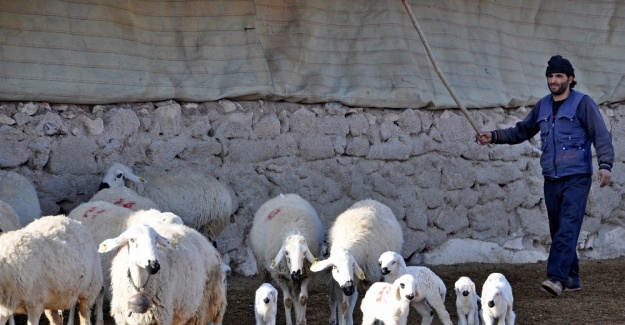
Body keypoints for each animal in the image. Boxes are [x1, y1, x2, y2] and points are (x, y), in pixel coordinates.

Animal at [98, 163, 235, 242]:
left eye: (119, 175)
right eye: (105, 172)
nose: (102, 186)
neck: (139, 187)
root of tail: (225, 192)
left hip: (211, 224)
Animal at [100, 221, 229, 324]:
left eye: (155, 240)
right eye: (132, 240)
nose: (154, 265)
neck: (139, 286)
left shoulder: (161, 318)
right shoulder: (122, 319)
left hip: (211, 303)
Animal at [250, 192, 324, 324]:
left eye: (304, 253)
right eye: (286, 253)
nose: (296, 273)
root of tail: (281, 195)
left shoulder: (307, 275)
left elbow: (303, 298)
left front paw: (301, 321)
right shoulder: (279, 276)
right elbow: (287, 301)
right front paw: (290, 322)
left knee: (295, 294)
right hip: (262, 267)